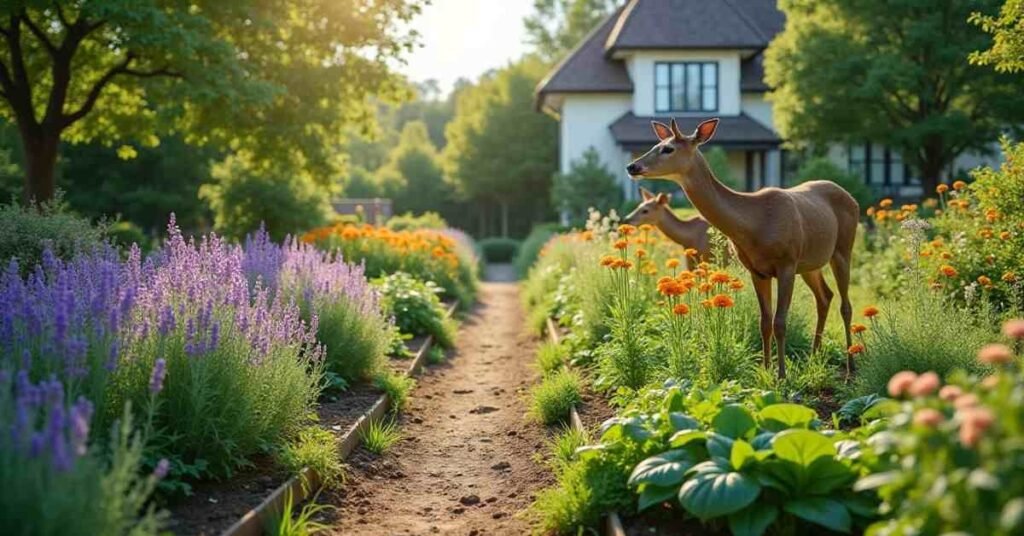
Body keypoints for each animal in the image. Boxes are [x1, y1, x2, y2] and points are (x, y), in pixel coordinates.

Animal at [626, 118, 859, 379]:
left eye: (668, 148)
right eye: (655, 144)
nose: (632, 166)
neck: (754, 223)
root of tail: (851, 197)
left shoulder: (786, 262)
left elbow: (780, 322)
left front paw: (782, 375)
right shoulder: (756, 270)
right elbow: (764, 322)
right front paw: (765, 371)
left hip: (842, 248)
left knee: (845, 305)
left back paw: (850, 367)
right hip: (810, 262)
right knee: (824, 297)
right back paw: (814, 357)